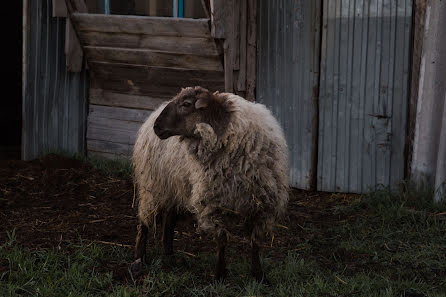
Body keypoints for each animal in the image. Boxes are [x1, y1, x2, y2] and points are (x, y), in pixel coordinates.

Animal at [130, 86, 290, 282]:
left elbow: (255, 242)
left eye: (186, 104)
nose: (157, 127)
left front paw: (258, 275)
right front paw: (219, 274)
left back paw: (169, 254)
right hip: (153, 185)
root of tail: (153, 113)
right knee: (145, 220)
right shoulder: (214, 204)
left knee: (169, 220)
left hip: (176, 186)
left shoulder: (262, 206)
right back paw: (139, 258)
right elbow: (222, 240)